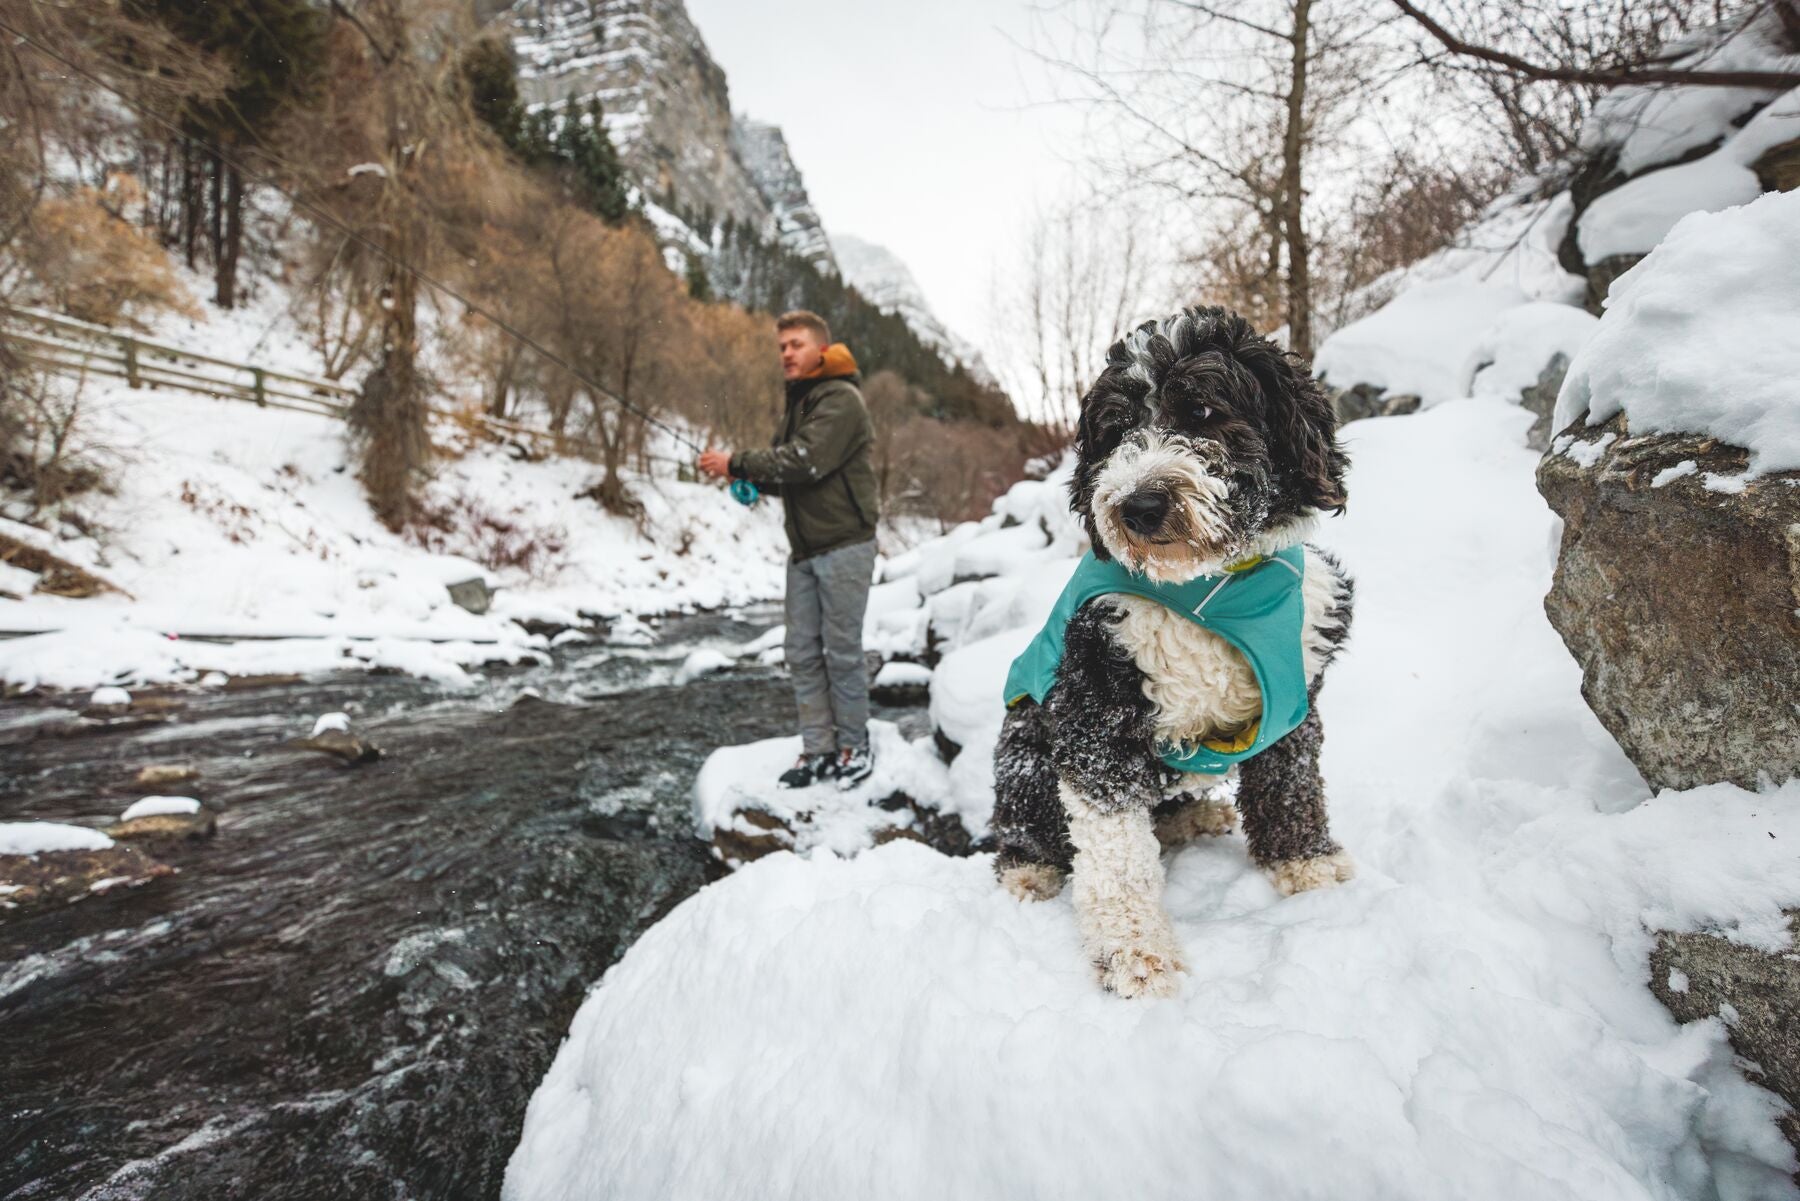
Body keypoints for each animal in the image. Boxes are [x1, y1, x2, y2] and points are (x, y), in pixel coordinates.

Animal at [993, 306, 1353, 1001]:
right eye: (1116, 431)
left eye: (1204, 412)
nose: (1138, 505)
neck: (1214, 589)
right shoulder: (1093, 718)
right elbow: (1116, 856)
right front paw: (1136, 954)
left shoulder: (1295, 700)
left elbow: (1291, 786)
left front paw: (1309, 870)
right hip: (1024, 743)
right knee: (1026, 826)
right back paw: (1028, 873)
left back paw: (1195, 818)